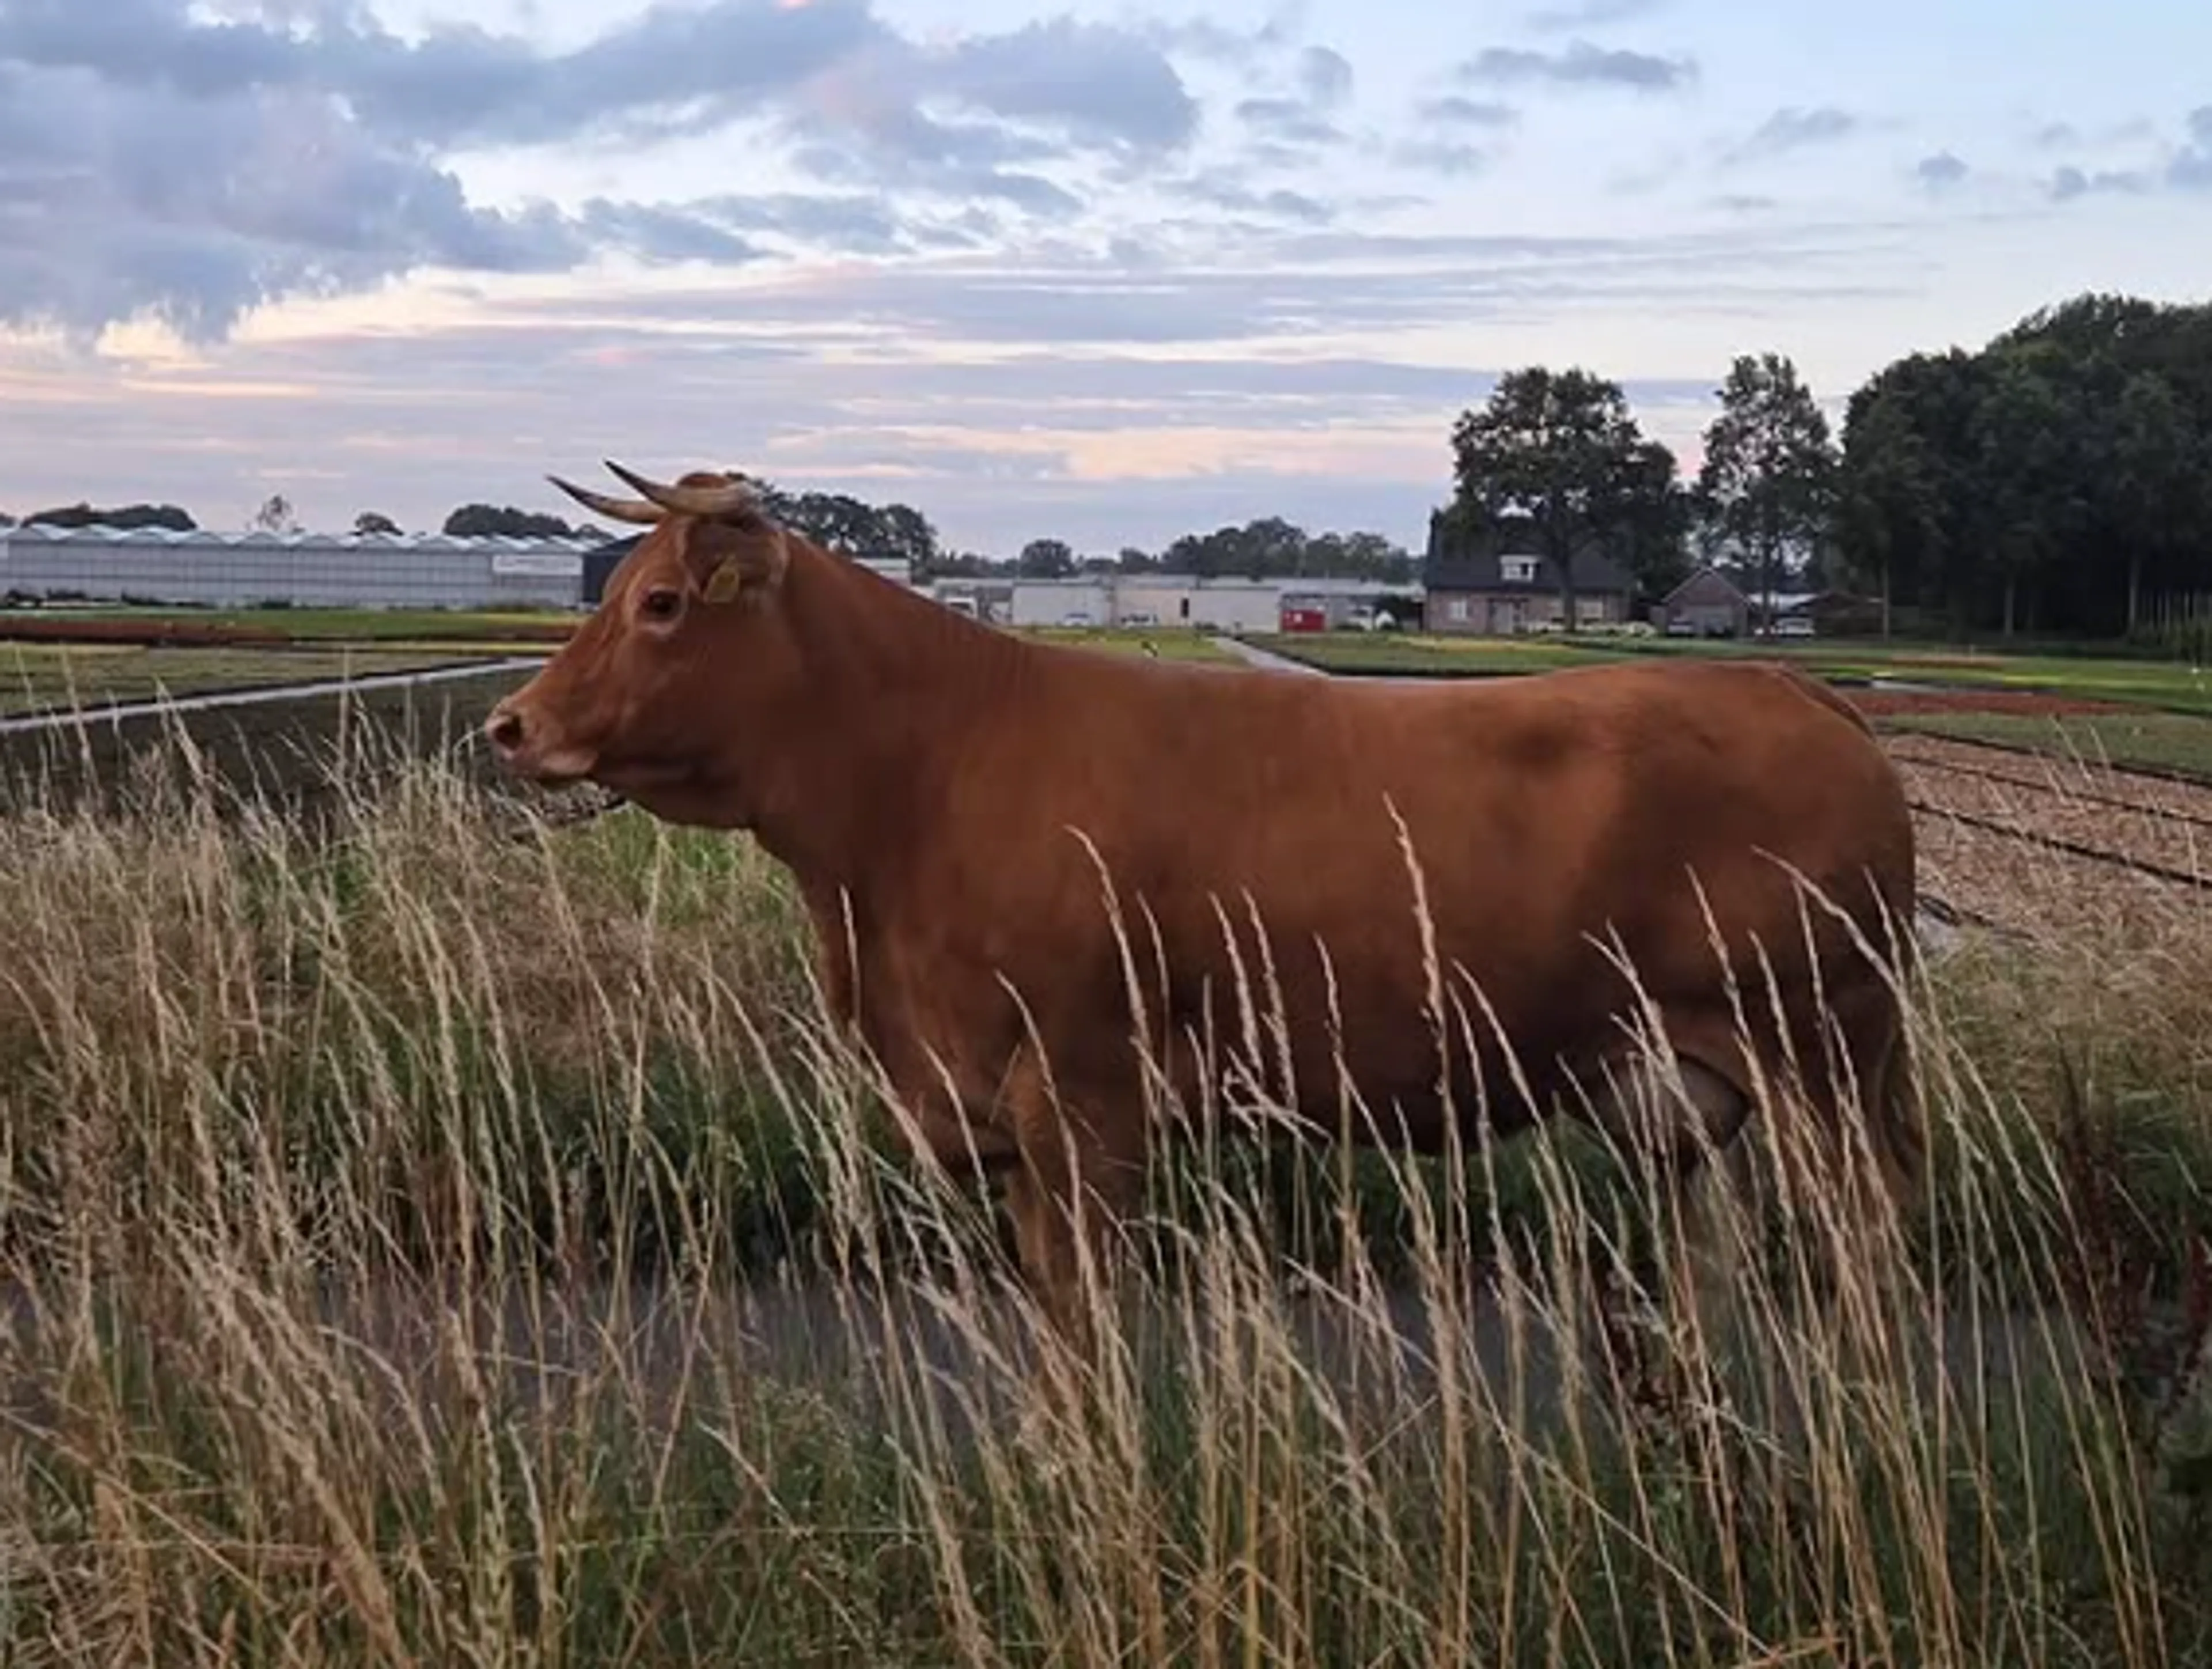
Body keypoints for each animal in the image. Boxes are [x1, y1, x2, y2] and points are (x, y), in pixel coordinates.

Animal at [485, 462, 1923, 1351]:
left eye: (662, 601)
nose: (511, 723)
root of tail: (1800, 690)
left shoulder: (1086, 1106)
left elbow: (1087, 1334)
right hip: (1693, 1094)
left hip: (1828, 1058)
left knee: (1867, 1252)